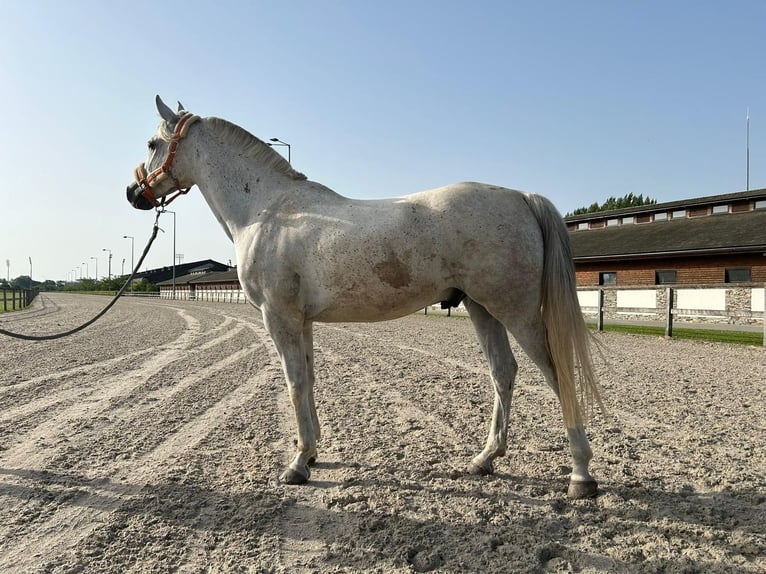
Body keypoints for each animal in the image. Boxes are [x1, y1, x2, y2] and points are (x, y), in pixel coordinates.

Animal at [126, 96, 605, 499]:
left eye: (152, 142)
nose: (134, 194)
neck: (267, 211)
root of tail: (522, 197)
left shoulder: (279, 317)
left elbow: (294, 383)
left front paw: (297, 465)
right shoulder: (302, 321)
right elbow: (308, 380)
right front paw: (312, 453)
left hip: (516, 310)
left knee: (557, 374)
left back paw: (581, 475)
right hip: (481, 308)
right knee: (503, 373)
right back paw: (485, 459)